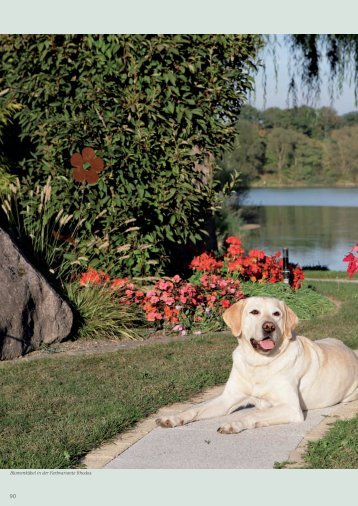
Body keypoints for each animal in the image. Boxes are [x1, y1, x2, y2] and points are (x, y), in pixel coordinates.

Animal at [156, 296, 358, 434]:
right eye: (254, 312)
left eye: (277, 314)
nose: (269, 326)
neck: (258, 362)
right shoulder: (228, 398)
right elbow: (194, 409)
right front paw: (173, 418)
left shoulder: (291, 408)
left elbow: (254, 414)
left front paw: (234, 423)